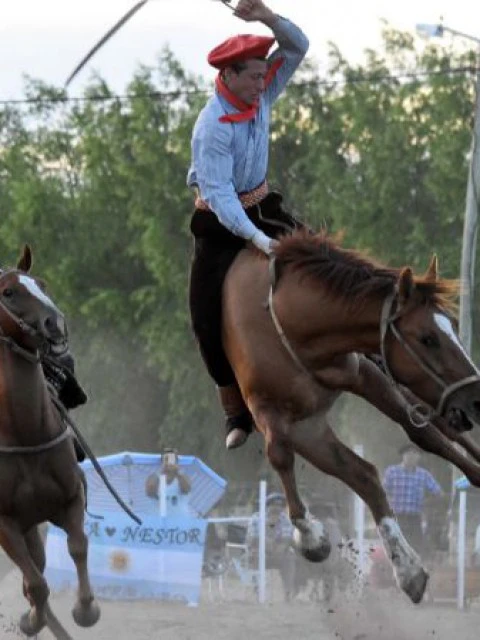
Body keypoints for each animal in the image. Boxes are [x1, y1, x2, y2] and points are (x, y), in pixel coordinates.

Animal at [0, 246, 100, 638]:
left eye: (41, 284)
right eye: (8, 292)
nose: (55, 324)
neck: (25, 431)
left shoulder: (69, 501)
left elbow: (78, 547)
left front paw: (85, 611)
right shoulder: (6, 525)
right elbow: (37, 585)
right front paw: (30, 619)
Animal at [222, 231, 480, 604]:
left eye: (455, 327)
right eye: (427, 338)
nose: (475, 397)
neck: (289, 320)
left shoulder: (366, 376)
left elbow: (422, 435)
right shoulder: (272, 412)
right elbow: (280, 456)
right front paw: (312, 538)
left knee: (438, 435)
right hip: (310, 430)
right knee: (365, 474)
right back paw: (408, 572)